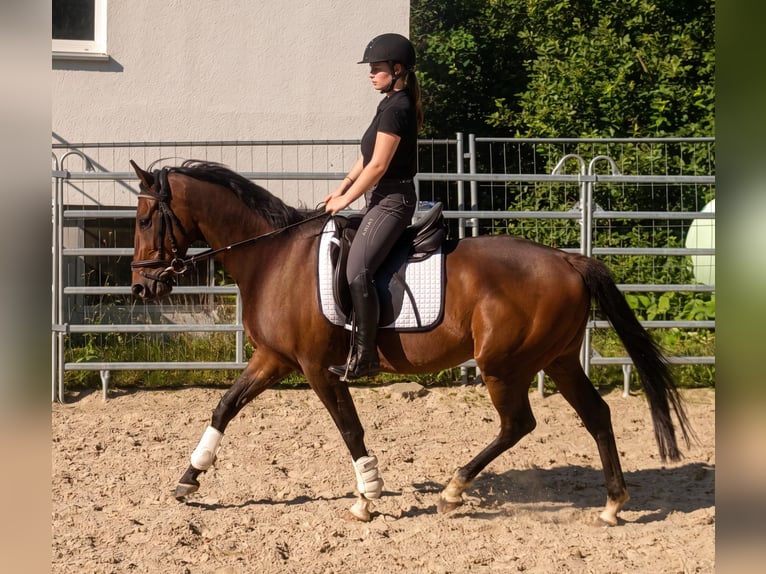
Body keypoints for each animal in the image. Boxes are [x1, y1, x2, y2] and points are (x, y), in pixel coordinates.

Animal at [129, 159, 694, 525]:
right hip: (556, 360)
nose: (140, 287)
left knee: (518, 424)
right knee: (596, 414)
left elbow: (350, 429)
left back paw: (453, 491)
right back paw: (612, 505)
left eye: (143, 219)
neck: (274, 258)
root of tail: (568, 260)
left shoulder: (314, 367)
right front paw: (188, 479)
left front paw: (366, 497)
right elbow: (224, 406)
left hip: (502, 364)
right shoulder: (273, 359)